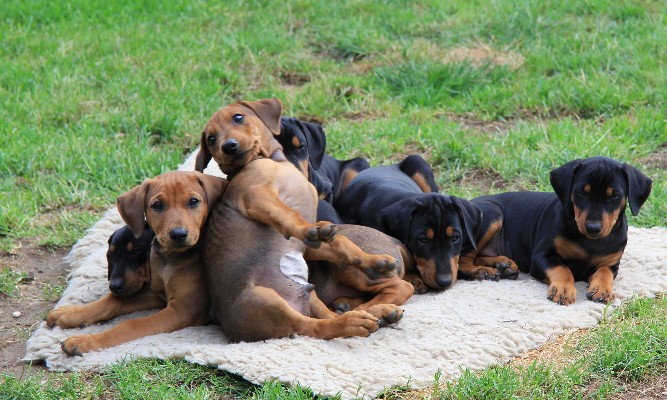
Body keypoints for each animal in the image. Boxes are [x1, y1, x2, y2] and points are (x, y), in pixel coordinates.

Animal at [46, 171, 227, 354]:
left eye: (193, 201)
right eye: (157, 205)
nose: (178, 235)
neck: (168, 259)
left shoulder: (184, 310)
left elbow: (131, 324)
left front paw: (87, 340)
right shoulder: (157, 294)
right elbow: (113, 300)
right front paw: (71, 313)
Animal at [193, 98, 402, 342]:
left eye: (237, 117)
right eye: (211, 139)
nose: (228, 146)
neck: (273, 161)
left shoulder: (311, 246)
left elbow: (340, 243)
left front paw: (375, 262)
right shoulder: (256, 196)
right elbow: (288, 216)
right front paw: (310, 229)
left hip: (309, 293)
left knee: (325, 315)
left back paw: (377, 313)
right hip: (265, 300)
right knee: (313, 327)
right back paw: (355, 321)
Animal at [336, 156, 482, 294]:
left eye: (455, 238)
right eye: (422, 240)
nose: (444, 282)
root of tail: (388, 165)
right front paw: (413, 278)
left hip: (418, 162)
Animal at [464, 155, 652, 304]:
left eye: (614, 195)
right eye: (580, 193)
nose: (593, 228)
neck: (589, 242)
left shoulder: (612, 263)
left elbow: (604, 272)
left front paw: (602, 289)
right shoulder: (541, 256)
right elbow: (562, 268)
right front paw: (564, 289)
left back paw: (503, 265)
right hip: (492, 213)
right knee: (464, 260)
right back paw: (483, 271)